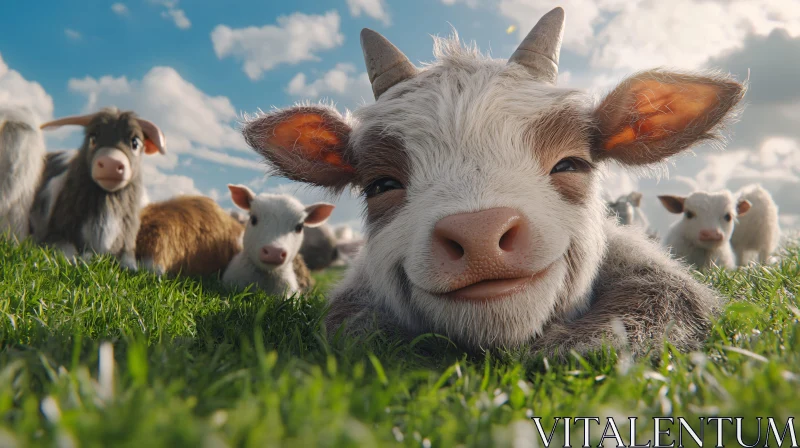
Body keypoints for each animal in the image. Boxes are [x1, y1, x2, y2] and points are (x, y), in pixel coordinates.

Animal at [29, 108, 166, 270]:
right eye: (93, 138)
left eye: (135, 142)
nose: (111, 162)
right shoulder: (56, 234)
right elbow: (68, 252)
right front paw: (82, 259)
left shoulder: (128, 241)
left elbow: (130, 262)